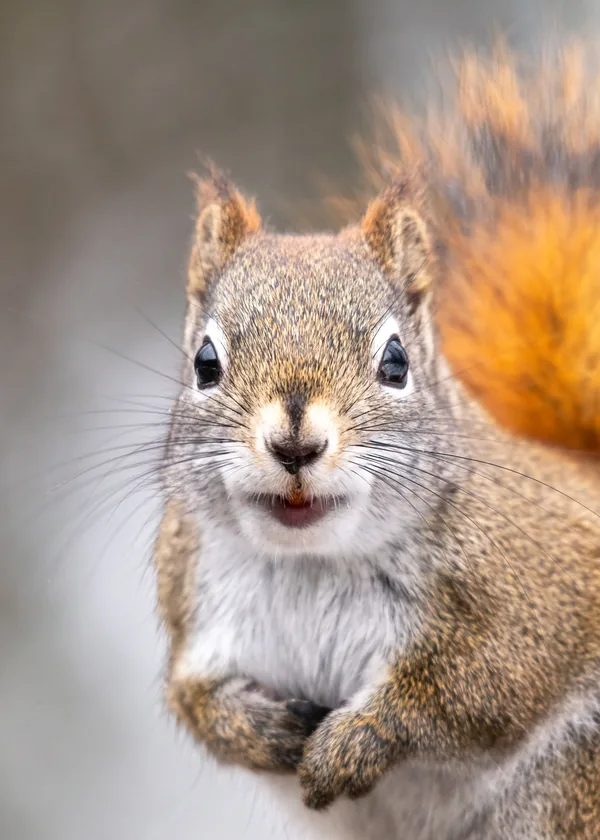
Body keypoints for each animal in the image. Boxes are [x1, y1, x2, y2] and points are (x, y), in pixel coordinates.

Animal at [155, 43, 600, 840]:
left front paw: (355, 741)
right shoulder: (192, 599)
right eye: (205, 362)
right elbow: (193, 701)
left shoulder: (533, 591)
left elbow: (473, 689)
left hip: (564, 791)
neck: (311, 561)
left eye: (396, 362)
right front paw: (259, 731)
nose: (295, 443)